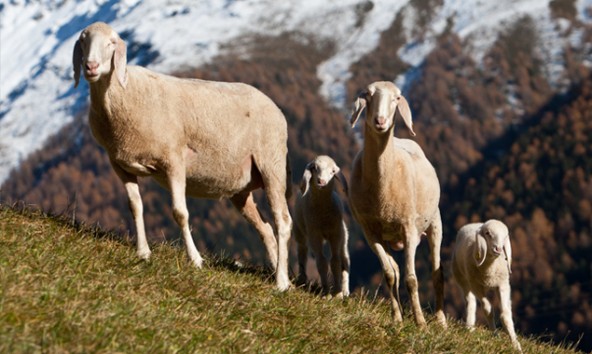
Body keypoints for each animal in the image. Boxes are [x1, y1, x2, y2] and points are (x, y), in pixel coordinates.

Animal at [72, 21, 294, 290]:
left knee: (283, 221)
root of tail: (275, 107)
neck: (126, 93)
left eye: (112, 42)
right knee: (265, 228)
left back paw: (281, 283)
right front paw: (143, 252)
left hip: (272, 164)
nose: (91, 67)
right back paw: (278, 272)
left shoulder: (174, 160)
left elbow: (180, 212)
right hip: (241, 187)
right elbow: (135, 206)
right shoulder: (119, 164)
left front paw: (195, 259)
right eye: (83, 40)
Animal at [292, 156, 350, 298]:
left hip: (344, 237)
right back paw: (302, 278)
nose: (321, 181)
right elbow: (321, 262)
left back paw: (345, 290)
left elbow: (336, 262)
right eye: (314, 168)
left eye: (333, 171)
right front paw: (326, 292)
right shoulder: (315, 234)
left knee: (345, 261)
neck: (323, 214)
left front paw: (338, 293)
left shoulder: (336, 233)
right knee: (302, 251)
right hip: (299, 230)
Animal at [346, 81, 444, 328]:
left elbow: (411, 279)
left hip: (434, 222)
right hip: (388, 235)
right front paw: (397, 318)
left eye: (397, 98)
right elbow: (389, 274)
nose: (380, 121)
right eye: (368, 95)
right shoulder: (370, 231)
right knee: (396, 270)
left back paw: (440, 320)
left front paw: (420, 323)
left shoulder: (408, 227)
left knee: (437, 273)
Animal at [450, 218, 520, 352]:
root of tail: (474, 223)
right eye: (487, 233)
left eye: (505, 236)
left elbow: (505, 314)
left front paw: (516, 345)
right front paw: (496, 335)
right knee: (470, 302)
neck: (490, 270)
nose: (498, 249)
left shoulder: (503, 284)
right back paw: (470, 328)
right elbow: (488, 309)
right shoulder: (476, 285)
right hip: (462, 279)